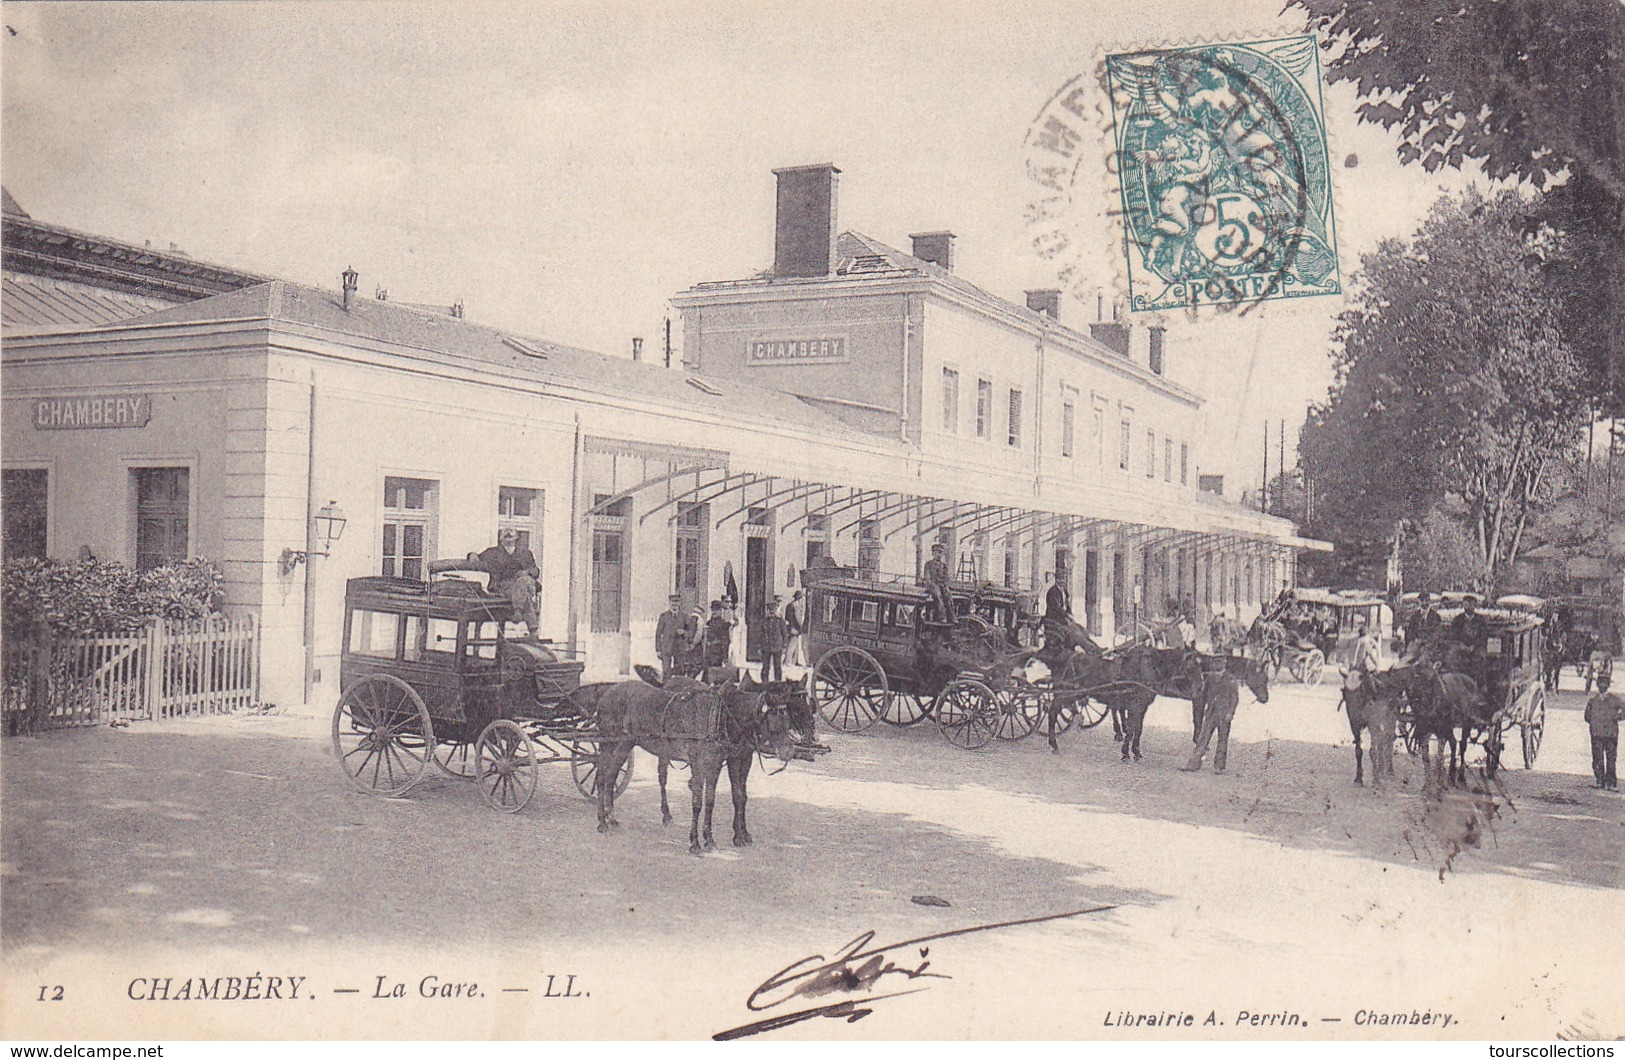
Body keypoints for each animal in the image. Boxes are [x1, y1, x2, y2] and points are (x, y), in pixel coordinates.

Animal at [594, 679, 802, 851]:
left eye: (788, 720)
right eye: (773, 723)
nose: (789, 752)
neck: (721, 717)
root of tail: (607, 693)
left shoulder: (717, 764)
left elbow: (713, 800)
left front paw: (711, 839)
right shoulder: (700, 765)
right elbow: (697, 803)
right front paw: (695, 842)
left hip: (626, 744)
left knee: (611, 776)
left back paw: (612, 819)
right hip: (608, 743)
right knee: (602, 777)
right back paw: (602, 822)